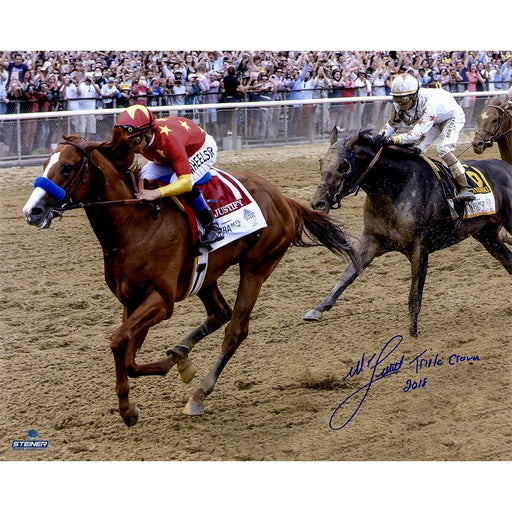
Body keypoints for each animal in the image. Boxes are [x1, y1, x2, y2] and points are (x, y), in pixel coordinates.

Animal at [22, 134, 358, 426]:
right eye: (44, 165)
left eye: (67, 167)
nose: (32, 211)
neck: (136, 225)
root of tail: (283, 199)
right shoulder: (131, 300)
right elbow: (128, 356)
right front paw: (173, 367)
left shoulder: (161, 300)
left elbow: (118, 341)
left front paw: (128, 410)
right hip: (207, 275)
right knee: (219, 313)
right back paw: (181, 354)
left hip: (257, 267)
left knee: (235, 329)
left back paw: (199, 394)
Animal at [304, 127, 512, 336]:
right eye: (322, 162)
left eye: (343, 166)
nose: (318, 203)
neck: (396, 186)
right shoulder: (372, 239)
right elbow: (348, 274)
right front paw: (317, 309)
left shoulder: (419, 247)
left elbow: (415, 293)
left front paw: (413, 332)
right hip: (486, 235)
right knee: (508, 260)